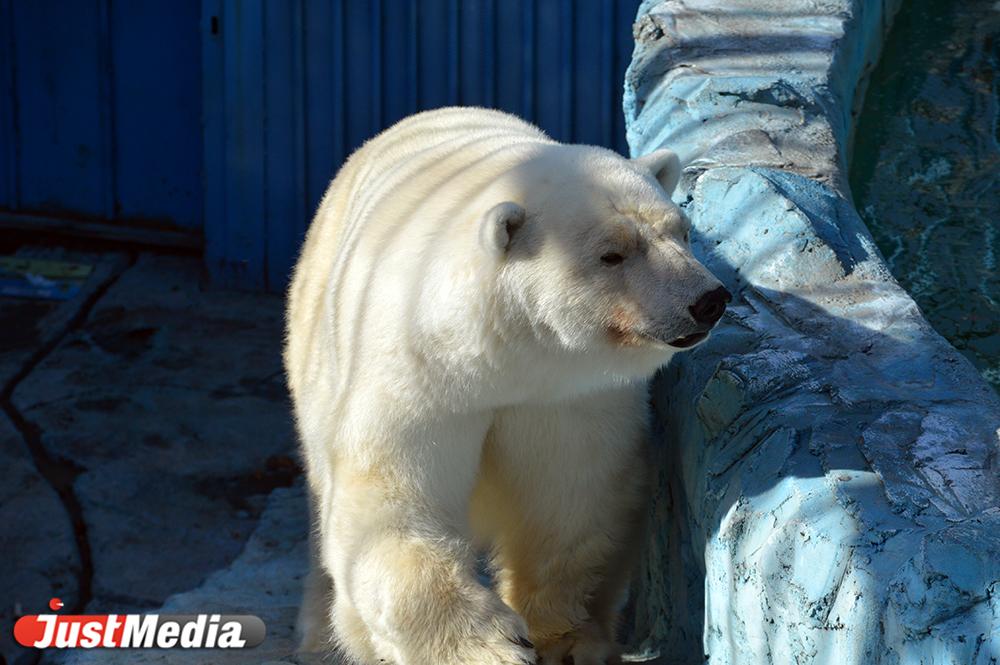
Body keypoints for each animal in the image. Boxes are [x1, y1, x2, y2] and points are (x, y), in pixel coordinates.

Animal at [284, 107, 729, 665]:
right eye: (612, 254)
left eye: (683, 232)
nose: (708, 300)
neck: (496, 352)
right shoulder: (416, 377)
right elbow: (392, 505)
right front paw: (489, 646)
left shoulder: (565, 394)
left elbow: (572, 498)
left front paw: (568, 639)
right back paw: (319, 636)